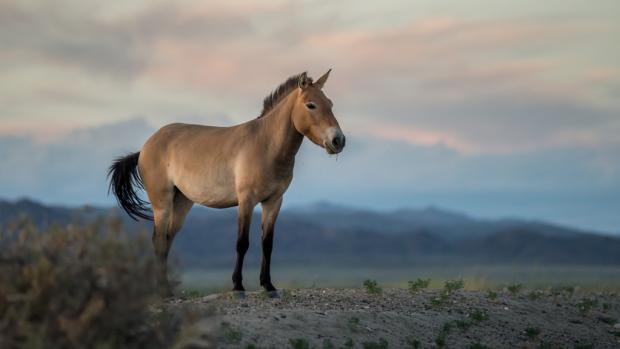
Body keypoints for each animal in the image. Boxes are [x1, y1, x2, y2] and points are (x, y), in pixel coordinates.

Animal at [109, 70, 346, 294]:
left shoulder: (274, 201)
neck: (266, 145)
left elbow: (267, 243)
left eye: (330, 104)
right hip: (162, 203)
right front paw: (238, 285)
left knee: (167, 239)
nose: (338, 140)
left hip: (182, 202)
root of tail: (146, 147)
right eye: (311, 105)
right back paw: (163, 292)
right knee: (158, 240)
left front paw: (268, 285)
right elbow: (242, 243)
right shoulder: (246, 200)